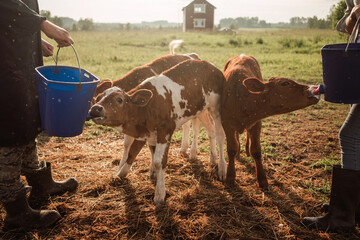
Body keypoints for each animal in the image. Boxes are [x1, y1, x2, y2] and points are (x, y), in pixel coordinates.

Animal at [89, 60, 226, 204]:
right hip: (201, 110)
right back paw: (213, 158)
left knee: (220, 135)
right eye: (97, 97)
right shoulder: (144, 133)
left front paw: (160, 194)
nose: (96, 108)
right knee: (210, 130)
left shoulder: (164, 132)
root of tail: (208, 64)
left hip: (216, 108)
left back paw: (222, 168)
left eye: (119, 99)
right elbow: (133, 153)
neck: (147, 107)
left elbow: (159, 161)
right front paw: (120, 174)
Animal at [221, 55, 320, 188]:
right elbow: (231, 149)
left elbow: (256, 150)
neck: (242, 99)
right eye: (285, 83)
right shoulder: (226, 123)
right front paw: (230, 177)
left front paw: (262, 179)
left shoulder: (257, 122)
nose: (314, 88)